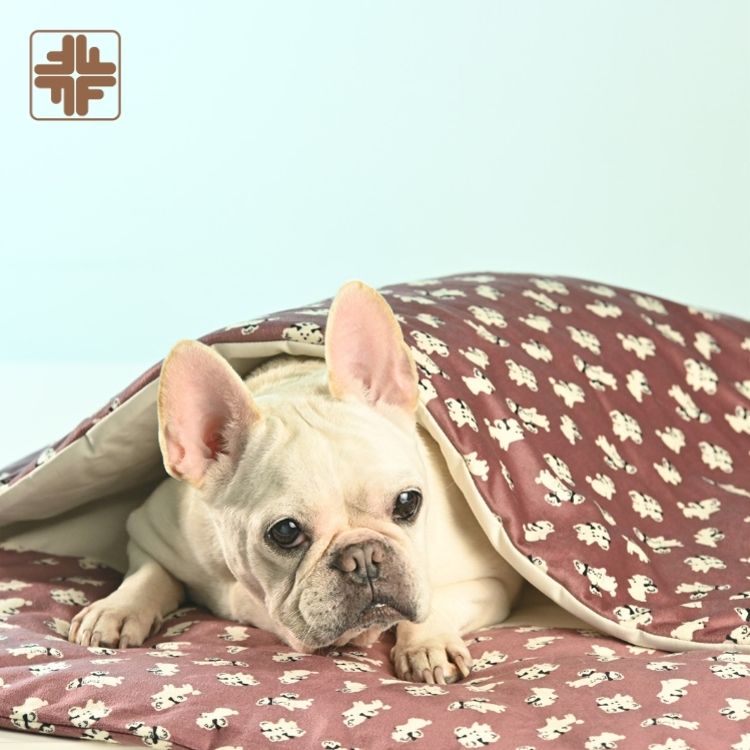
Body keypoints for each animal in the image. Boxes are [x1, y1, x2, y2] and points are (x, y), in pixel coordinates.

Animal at [68, 281, 522, 684]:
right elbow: (148, 573)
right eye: (285, 532)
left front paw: (428, 644)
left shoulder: (495, 583)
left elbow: (438, 600)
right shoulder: (150, 533)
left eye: (408, 502)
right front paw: (115, 610)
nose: (364, 556)